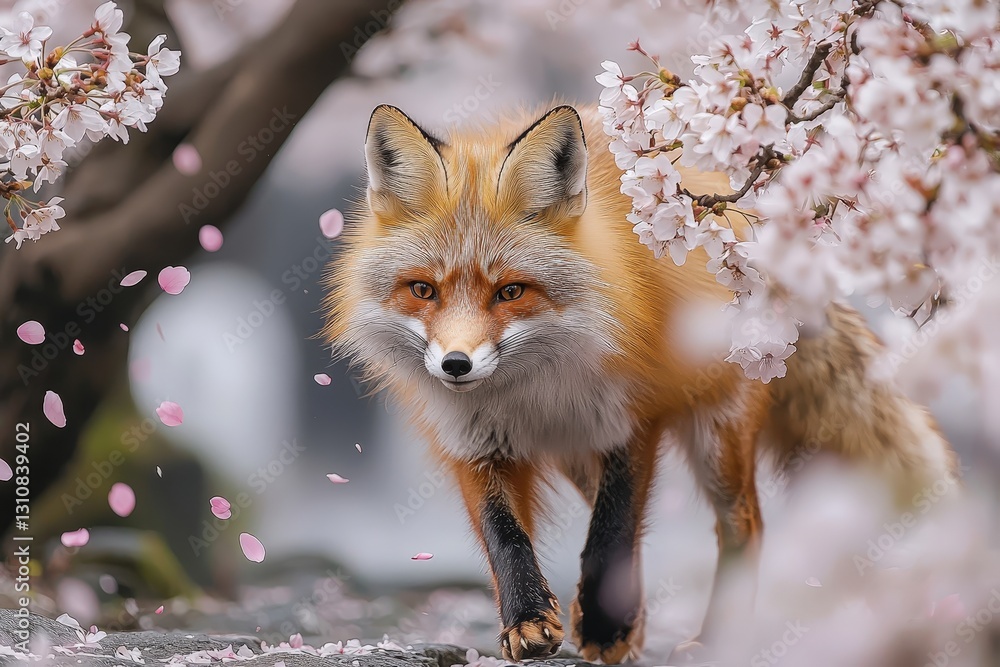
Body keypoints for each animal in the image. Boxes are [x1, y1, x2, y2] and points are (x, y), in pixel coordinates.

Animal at [321, 103, 959, 663]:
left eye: (511, 291)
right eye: (422, 290)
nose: (456, 365)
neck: (530, 390)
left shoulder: (631, 419)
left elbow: (612, 530)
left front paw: (604, 625)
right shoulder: (476, 444)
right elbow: (505, 537)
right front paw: (528, 620)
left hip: (717, 433)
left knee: (744, 527)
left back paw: (710, 638)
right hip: (580, 454)